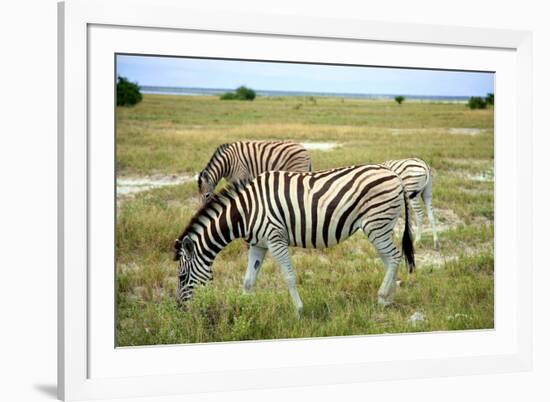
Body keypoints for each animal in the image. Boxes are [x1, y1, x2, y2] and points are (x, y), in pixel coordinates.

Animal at [175, 165, 416, 316]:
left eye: (182, 276)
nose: (180, 309)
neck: (245, 211)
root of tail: (394, 175)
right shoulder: (258, 244)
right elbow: (248, 280)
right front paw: (243, 308)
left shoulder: (275, 239)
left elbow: (289, 276)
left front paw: (299, 311)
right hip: (381, 226)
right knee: (390, 260)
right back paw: (388, 300)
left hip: (377, 224)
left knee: (394, 257)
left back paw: (382, 297)